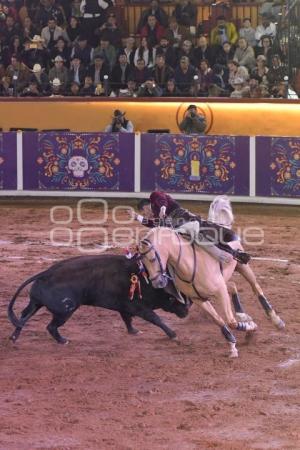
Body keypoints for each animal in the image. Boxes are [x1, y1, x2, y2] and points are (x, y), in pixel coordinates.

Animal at [8, 255, 189, 342]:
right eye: (177, 299)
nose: (187, 311)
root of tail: (46, 273)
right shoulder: (138, 307)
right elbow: (155, 318)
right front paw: (172, 334)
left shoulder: (124, 306)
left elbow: (127, 319)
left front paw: (133, 331)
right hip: (65, 311)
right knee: (51, 326)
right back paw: (63, 340)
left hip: (36, 303)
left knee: (24, 316)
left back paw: (14, 337)